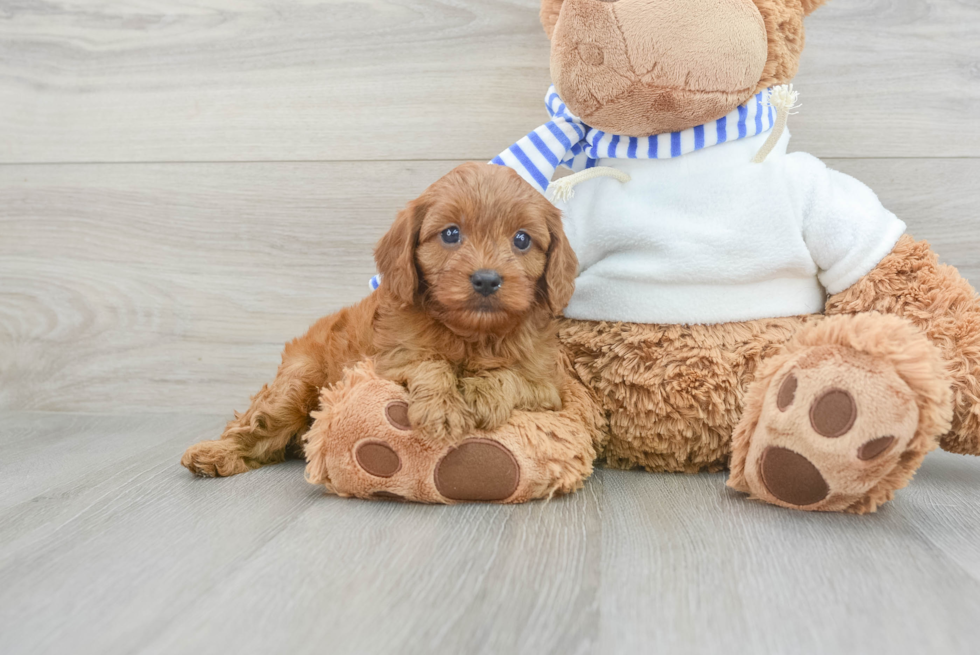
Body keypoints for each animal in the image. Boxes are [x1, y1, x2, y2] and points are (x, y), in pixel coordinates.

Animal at [181, 164, 580, 480]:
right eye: (451, 233)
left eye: (522, 239)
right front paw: (442, 408)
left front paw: (484, 393)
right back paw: (214, 453)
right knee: (257, 425)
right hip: (297, 383)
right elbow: (429, 363)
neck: (473, 334)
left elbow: (512, 376)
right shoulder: (387, 361)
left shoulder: (548, 388)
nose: (486, 279)